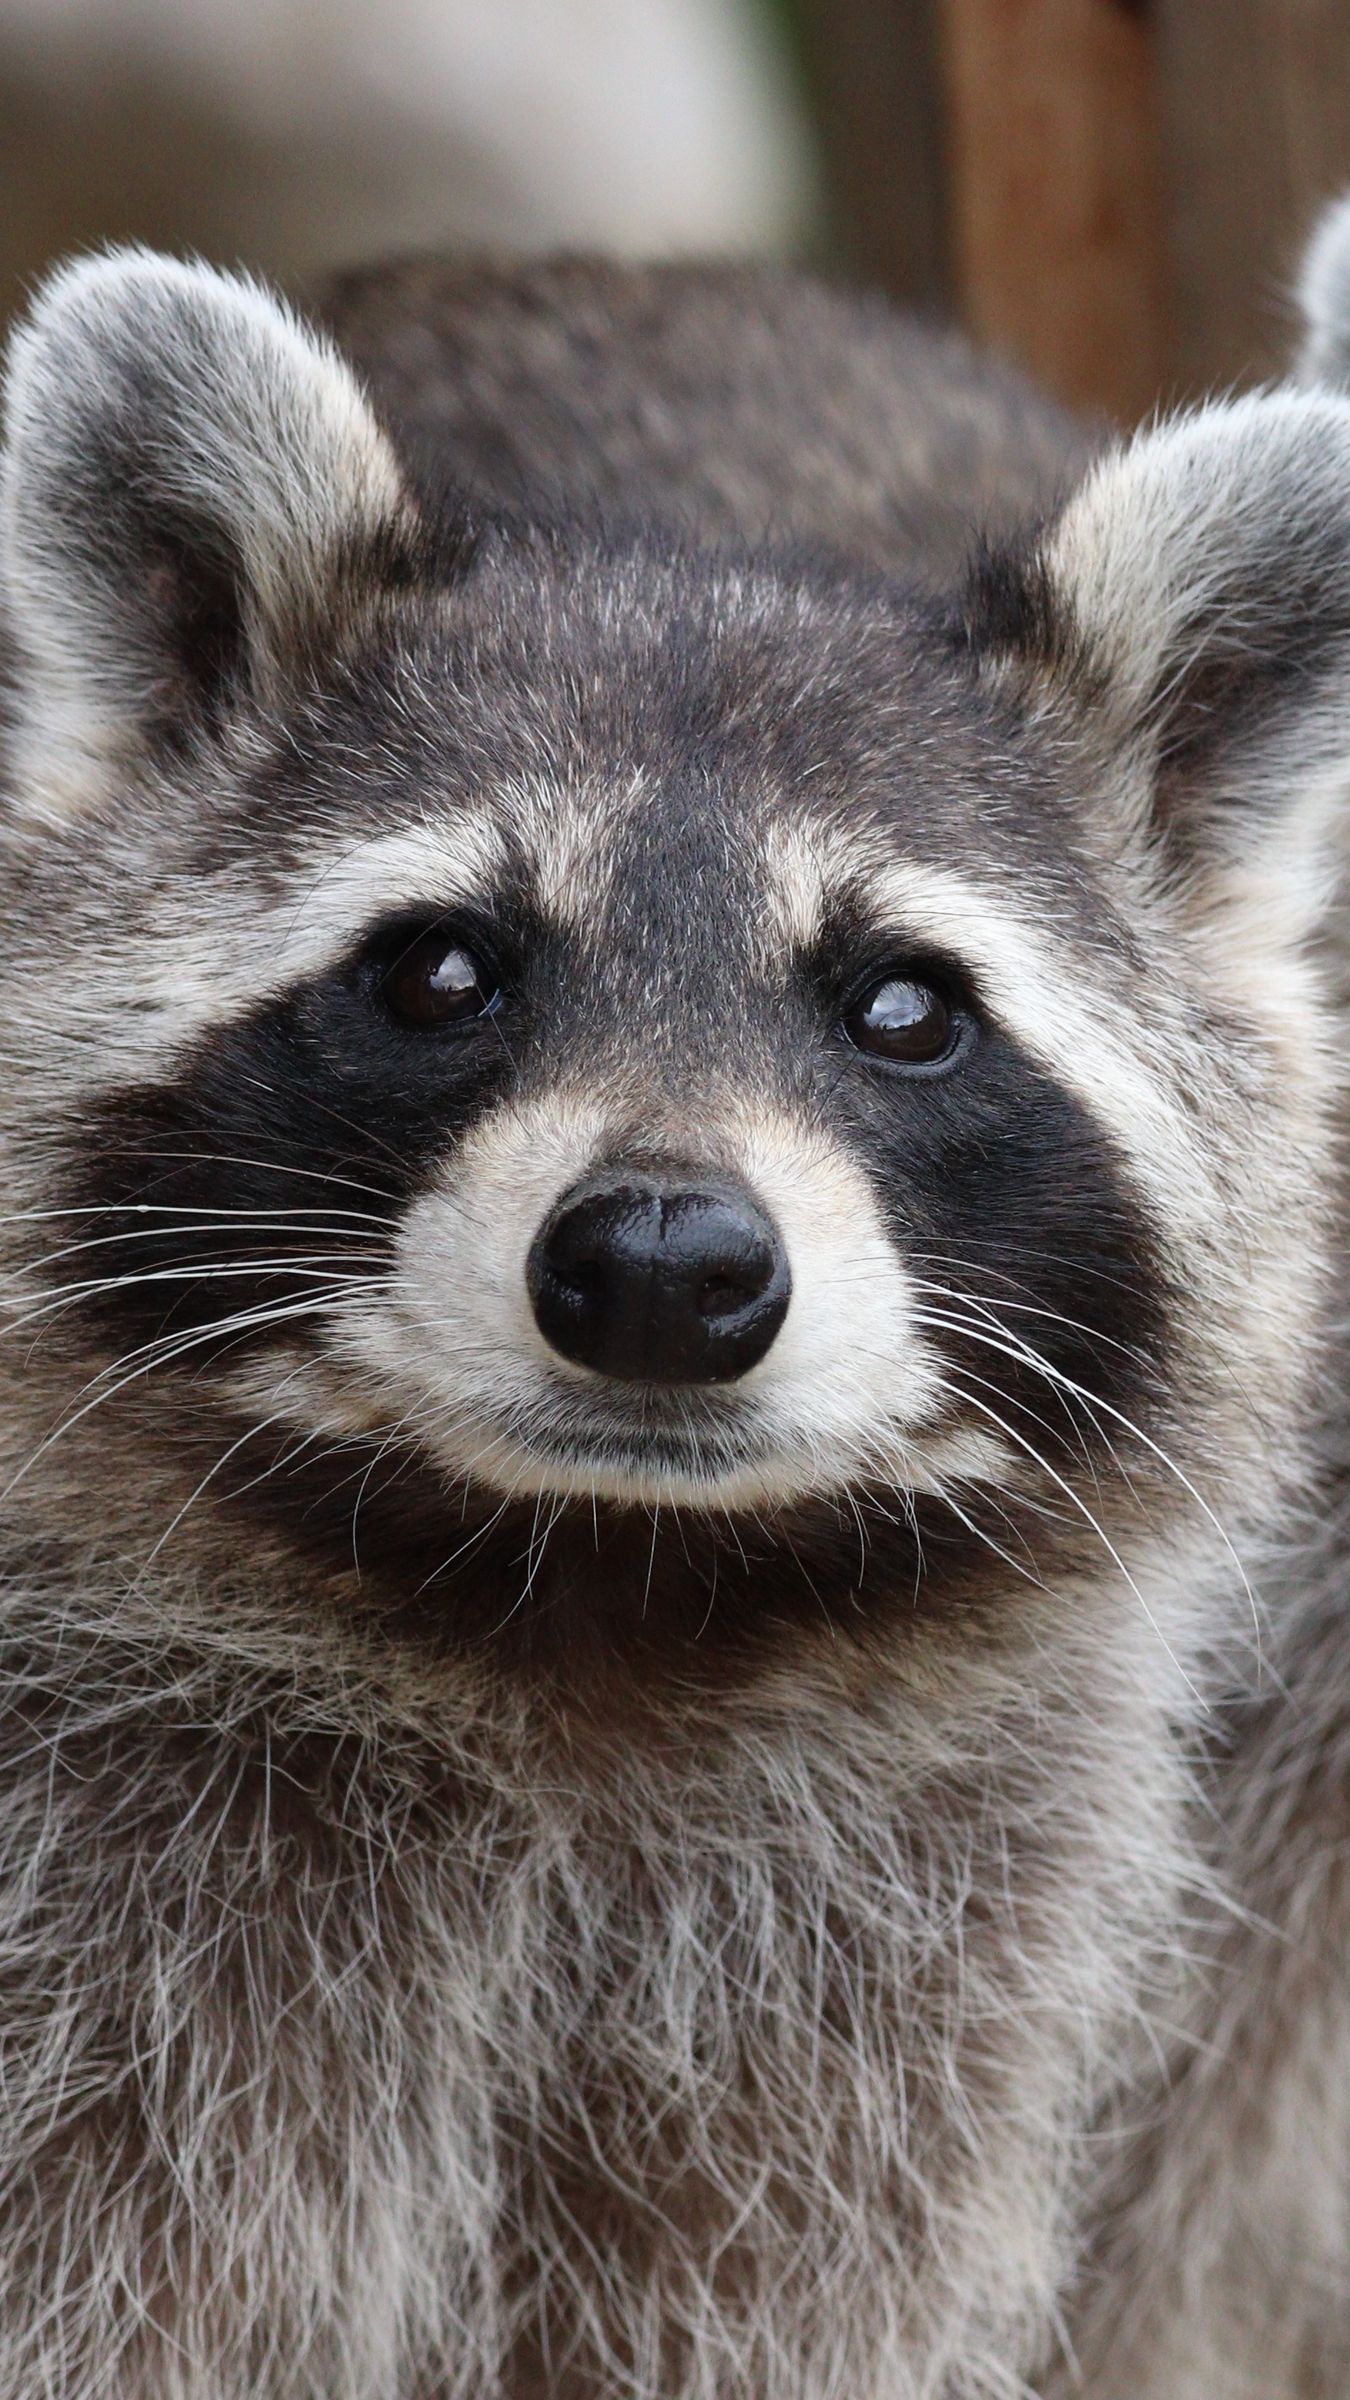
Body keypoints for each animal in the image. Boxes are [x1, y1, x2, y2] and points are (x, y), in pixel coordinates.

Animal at [0, 212, 1348, 2400]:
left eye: (906, 1010)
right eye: (440, 971)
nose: (657, 1268)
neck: (600, 1590)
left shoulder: (882, 1962)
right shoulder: (108, 1910)